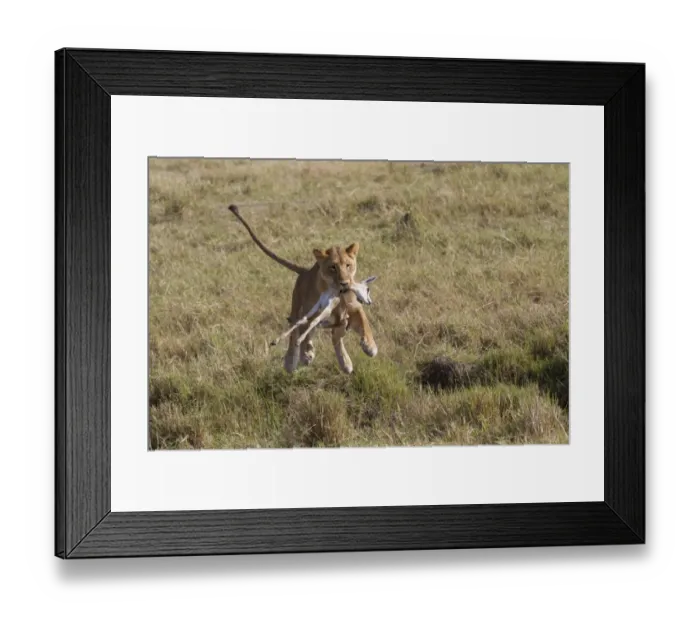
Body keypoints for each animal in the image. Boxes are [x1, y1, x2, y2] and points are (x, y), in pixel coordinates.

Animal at [228, 204, 378, 374]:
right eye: (332, 267)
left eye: (348, 265)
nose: (345, 283)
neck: (336, 294)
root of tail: (305, 271)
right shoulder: (312, 311)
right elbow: (304, 331)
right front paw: (305, 354)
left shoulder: (354, 307)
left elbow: (364, 323)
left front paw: (370, 346)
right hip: (299, 308)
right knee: (297, 330)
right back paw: (294, 359)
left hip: (337, 322)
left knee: (333, 336)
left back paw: (345, 363)